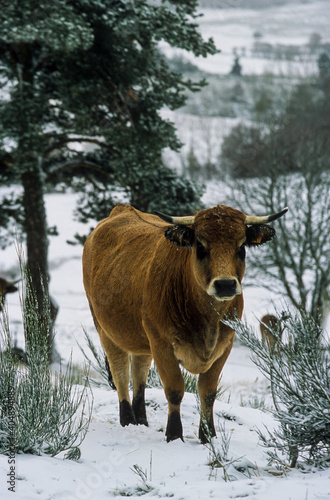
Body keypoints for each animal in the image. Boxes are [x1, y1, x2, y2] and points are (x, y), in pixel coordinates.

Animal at [82, 203, 286, 442]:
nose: (225, 284)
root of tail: (122, 210)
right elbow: (174, 389)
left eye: (241, 246)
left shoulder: (225, 345)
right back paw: (128, 420)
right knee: (121, 372)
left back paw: (141, 419)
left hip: (142, 338)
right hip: (105, 330)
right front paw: (174, 434)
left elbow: (208, 392)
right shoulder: (162, 345)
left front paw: (208, 435)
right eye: (200, 246)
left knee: (139, 371)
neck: (206, 319)